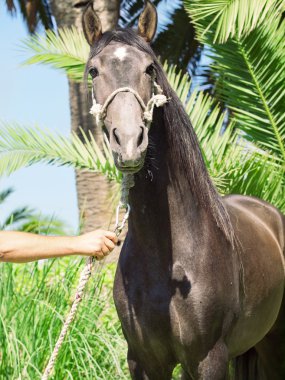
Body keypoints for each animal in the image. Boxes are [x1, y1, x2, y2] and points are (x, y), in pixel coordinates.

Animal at [81, 1, 282, 378]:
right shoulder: (144, 360)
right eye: (93, 71)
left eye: (150, 68)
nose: (129, 143)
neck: (167, 259)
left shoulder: (208, 358)